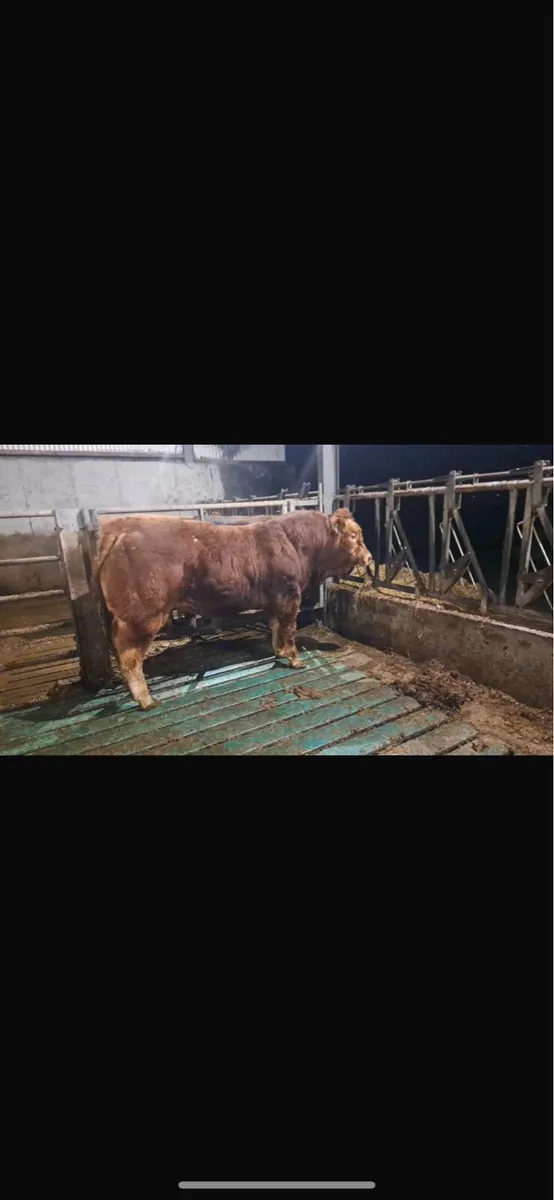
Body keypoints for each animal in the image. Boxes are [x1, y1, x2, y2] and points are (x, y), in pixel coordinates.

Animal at [96, 508, 372, 710]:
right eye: (354, 535)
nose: (369, 557)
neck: (297, 544)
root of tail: (120, 529)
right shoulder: (289, 596)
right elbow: (288, 629)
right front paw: (294, 659)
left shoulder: (275, 600)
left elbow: (275, 627)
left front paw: (279, 651)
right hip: (143, 616)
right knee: (130, 657)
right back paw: (146, 700)